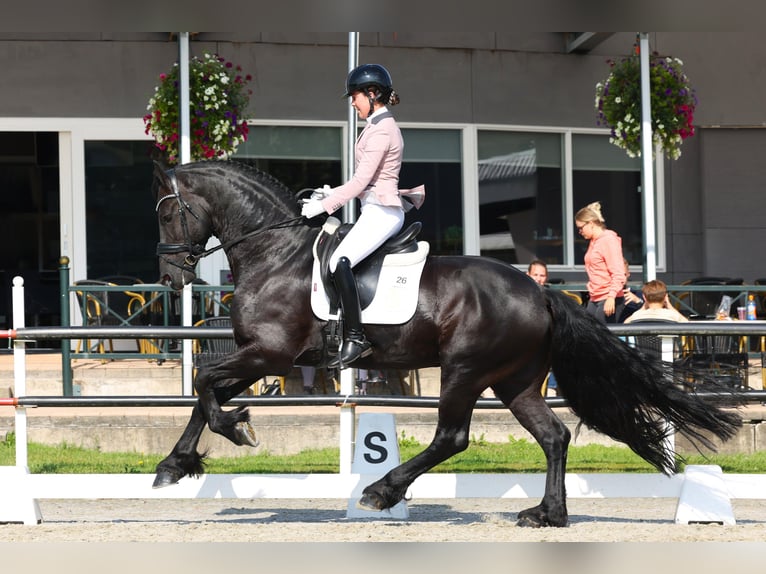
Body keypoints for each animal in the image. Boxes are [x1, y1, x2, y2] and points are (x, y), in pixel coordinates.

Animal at [152, 160, 744, 528]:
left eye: (166, 211)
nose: (171, 277)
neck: (275, 254)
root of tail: (539, 291)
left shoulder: (270, 354)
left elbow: (205, 385)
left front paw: (236, 429)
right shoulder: (260, 357)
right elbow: (204, 393)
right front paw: (175, 465)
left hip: (465, 371)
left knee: (452, 437)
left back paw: (382, 490)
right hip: (515, 381)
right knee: (552, 436)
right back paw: (548, 514)